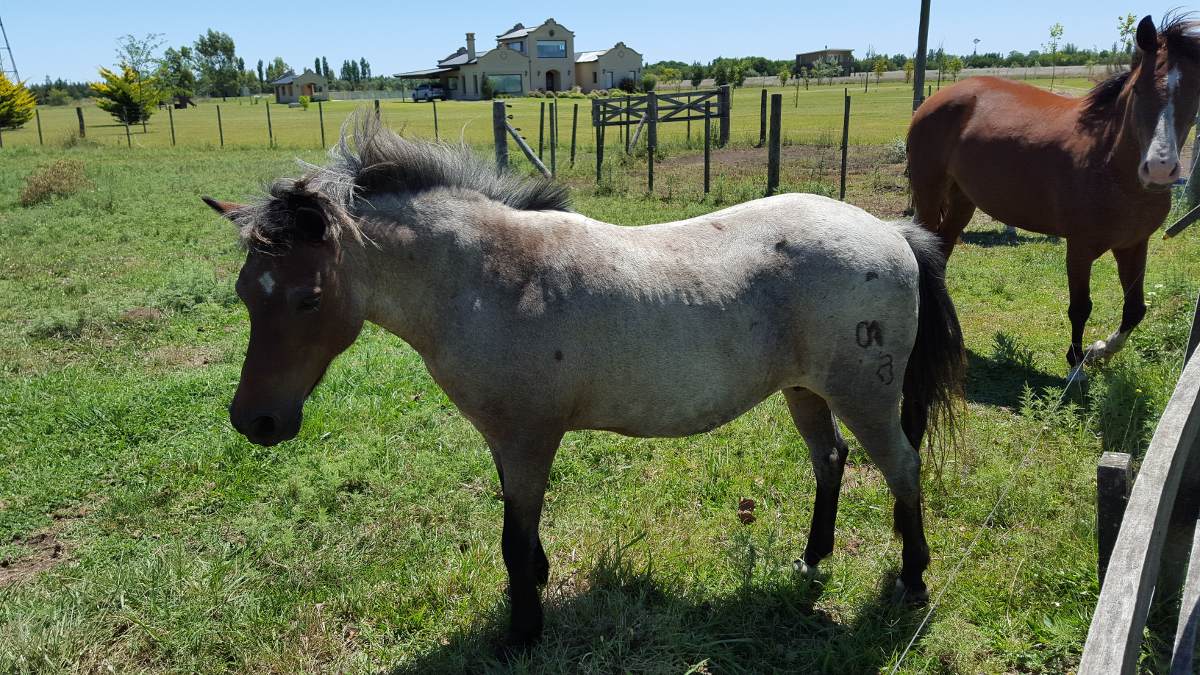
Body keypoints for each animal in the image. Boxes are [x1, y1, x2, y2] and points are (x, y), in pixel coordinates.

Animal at [199, 115, 964, 648]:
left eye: (307, 299)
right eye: (243, 293)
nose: (254, 421)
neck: (488, 278)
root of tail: (893, 232)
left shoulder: (527, 437)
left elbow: (513, 537)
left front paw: (522, 633)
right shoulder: (512, 441)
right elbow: (521, 527)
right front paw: (536, 590)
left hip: (864, 394)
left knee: (901, 467)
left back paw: (914, 578)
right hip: (805, 391)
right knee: (830, 460)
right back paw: (810, 560)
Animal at [907, 14, 1200, 372]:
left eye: (1195, 93)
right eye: (1138, 89)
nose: (1159, 168)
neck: (1111, 166)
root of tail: (939, 98)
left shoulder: (1133, 244)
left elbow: (1135, 309)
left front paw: (1100, 351)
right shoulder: (1080, 247)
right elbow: (1080, 307)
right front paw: (1076, 364)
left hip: (963, 200)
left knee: (942, 250)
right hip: (929, 194)